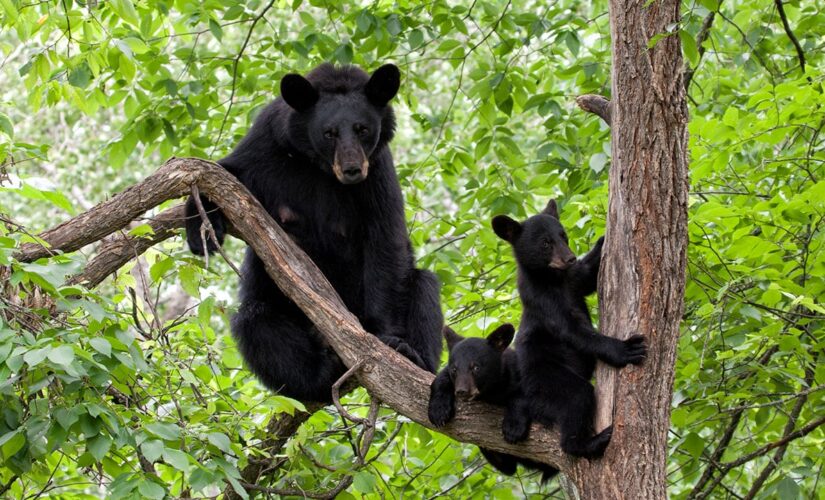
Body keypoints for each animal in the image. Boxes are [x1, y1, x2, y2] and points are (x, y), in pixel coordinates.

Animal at [186, 64, 444, 402]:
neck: (319, 167)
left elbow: (386, 240)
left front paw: (388, 339)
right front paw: (199, 231)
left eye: (362, 129)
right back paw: (319, 375)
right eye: (329, 132)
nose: (352, 170)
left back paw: (413, 356)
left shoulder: (377, 171)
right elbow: (224, 173)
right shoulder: (266, 144)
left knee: (423, 287)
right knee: (257, 322)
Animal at [428, 324, 556, 480]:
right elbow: (441, 378)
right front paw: (438, 411)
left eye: (476, 367)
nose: (461, 391)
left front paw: (513, 428)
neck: (491, 390)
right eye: (454, 369)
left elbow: (525, 396)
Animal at [490, 201, 644, 458]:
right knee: (577, 397)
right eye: (545, 243)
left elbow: (588, 275)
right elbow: (573, 331)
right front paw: (625, 349)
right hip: (546, 380)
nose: (570, 258)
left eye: (563, 236)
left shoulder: (573, 280)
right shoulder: (542, 300)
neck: (553, 279)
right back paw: (588, 442)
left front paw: (603, 240)